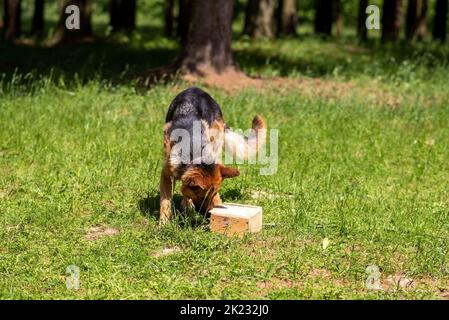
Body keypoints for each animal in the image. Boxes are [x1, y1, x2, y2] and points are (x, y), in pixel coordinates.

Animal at [158, 86, 266, 224]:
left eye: (213, 194)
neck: (195, 151)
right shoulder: (166, 174)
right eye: (202, 196)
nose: (209, 215)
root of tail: (196, 89)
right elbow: (165, 201)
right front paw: (164, 223)